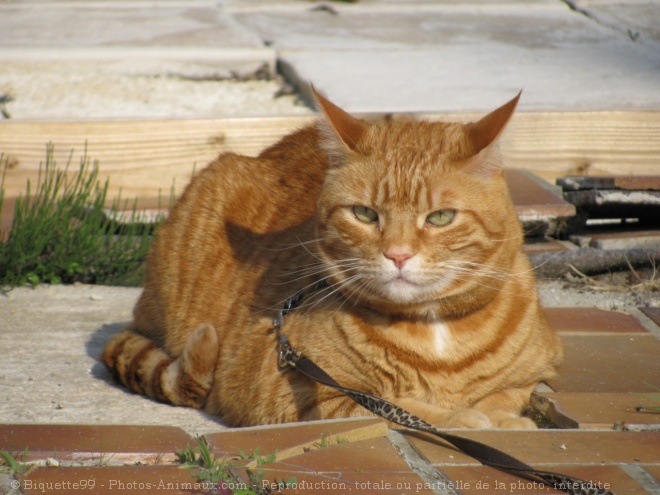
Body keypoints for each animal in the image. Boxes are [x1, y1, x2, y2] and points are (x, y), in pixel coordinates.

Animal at [102, 87, 564, 428]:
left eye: (441, 217)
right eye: (364, 214)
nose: (398, 254)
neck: (435, 331)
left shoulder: (538, 374)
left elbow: (503, 396)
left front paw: (501, 417)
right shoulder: (308, 398)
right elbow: (405, 409)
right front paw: (465, 418)